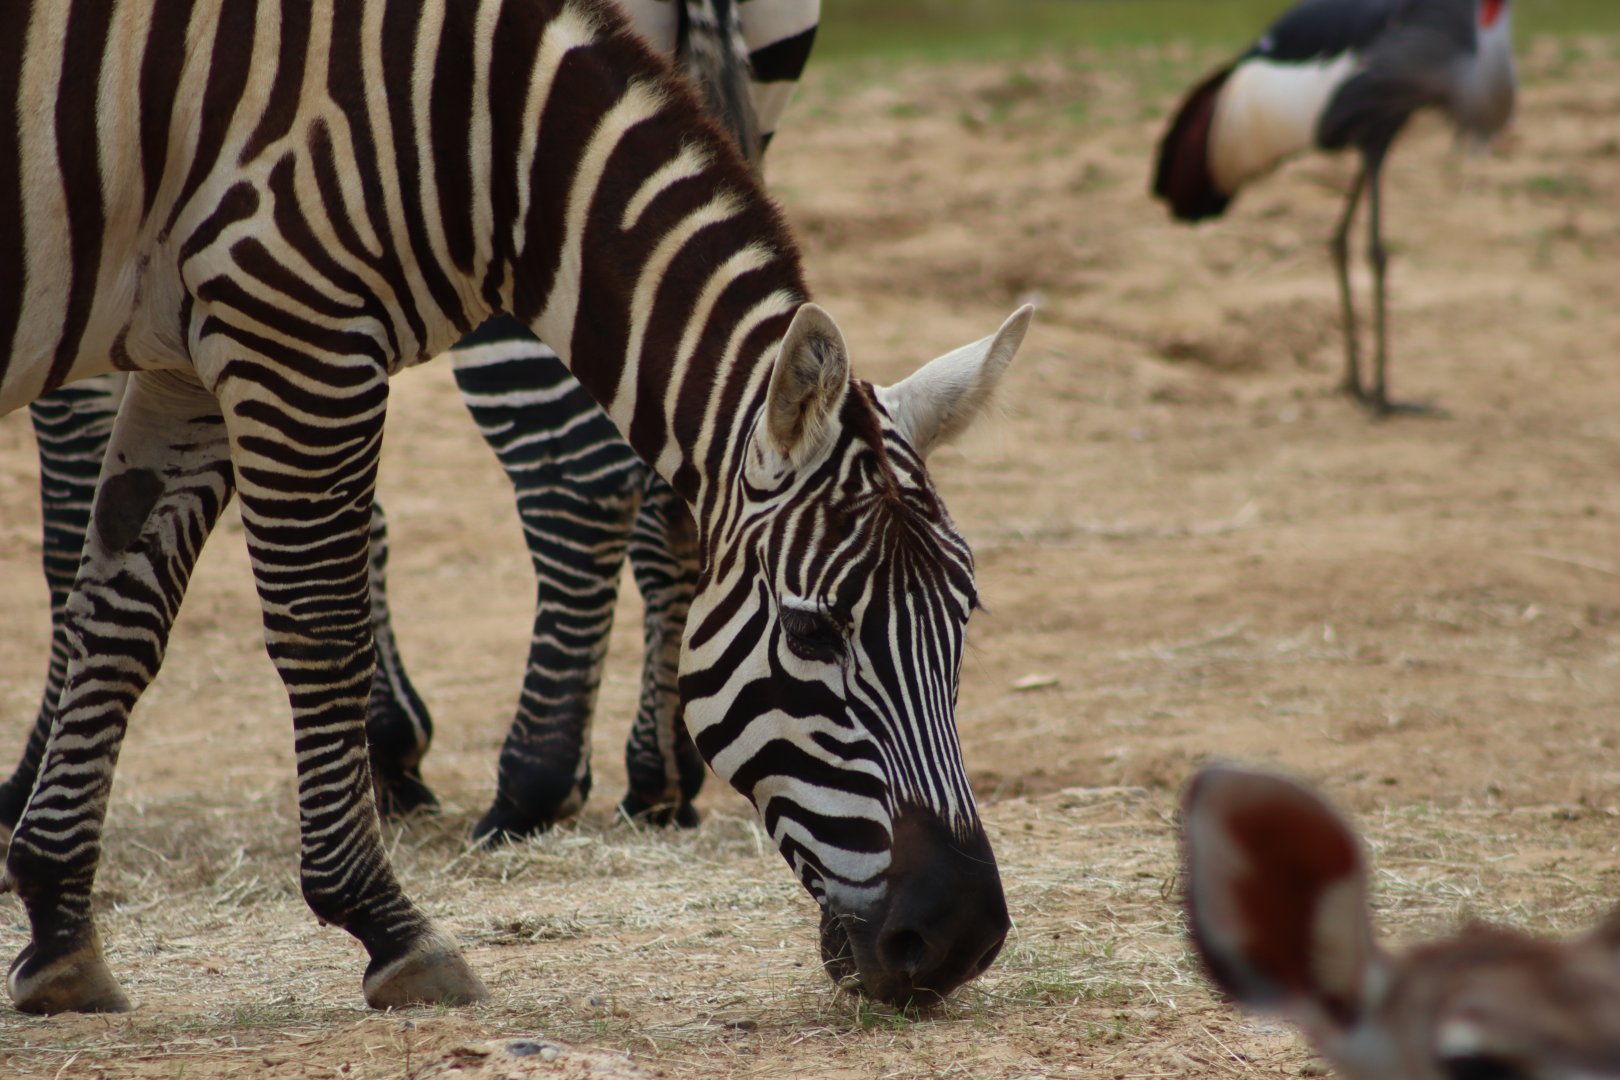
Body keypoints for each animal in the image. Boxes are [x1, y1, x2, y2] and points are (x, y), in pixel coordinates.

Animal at [1, 0, 821, 842]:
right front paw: (390, 746)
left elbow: (70, 533)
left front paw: (31, 776)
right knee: (688, 465)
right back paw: (660, 776)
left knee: (579, 485)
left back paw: (535, 779)